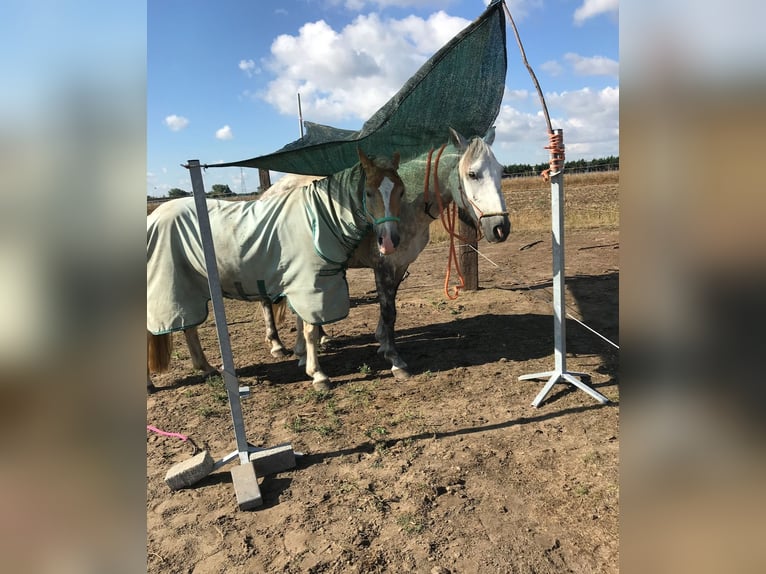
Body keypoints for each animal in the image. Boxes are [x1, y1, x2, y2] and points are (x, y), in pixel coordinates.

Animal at [146, 150, 404, 392]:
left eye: (401, 191)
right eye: (368, 193)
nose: (389, 242)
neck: (316, 221)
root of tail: (153, 217)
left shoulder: (304, 284)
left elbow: (304, 325)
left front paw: (304, 360)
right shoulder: (309, 284)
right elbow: (311, 330)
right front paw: (318, 375)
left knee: (188, 328)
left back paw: (207, 369)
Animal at [262, 127, 510, 380]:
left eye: (501, 171)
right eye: (472, 174)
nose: (500, 228)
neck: (408, 204)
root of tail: (268, 193)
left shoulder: (400, 265)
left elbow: (390, 309)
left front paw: (382, 342)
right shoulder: (383, 265)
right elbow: (388, 310)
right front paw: (395, 360)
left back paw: (307, 348)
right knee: (267, 300)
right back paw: (278, 345)